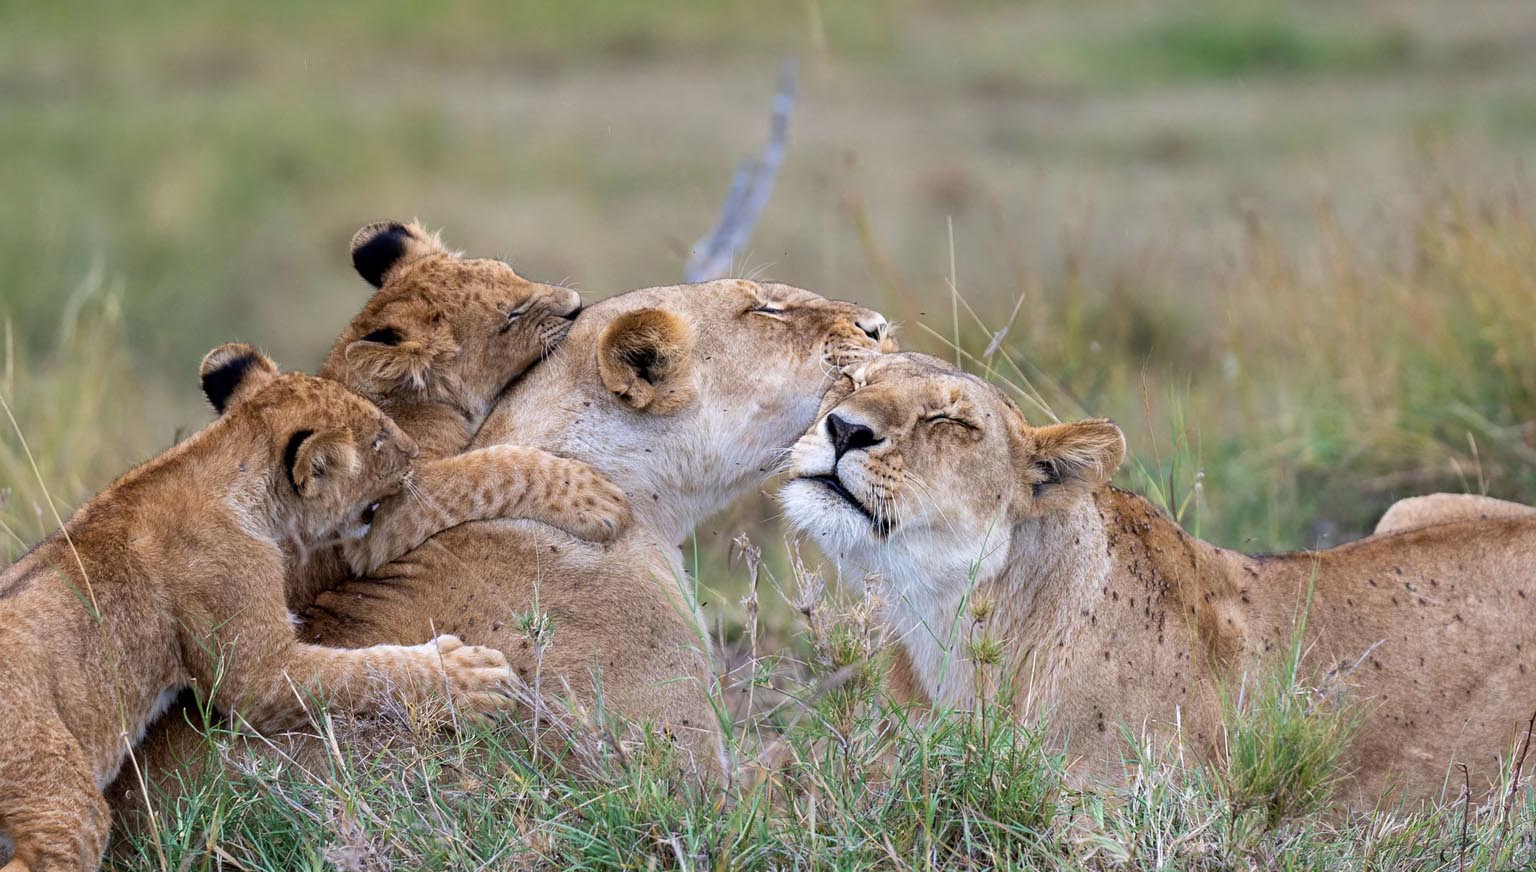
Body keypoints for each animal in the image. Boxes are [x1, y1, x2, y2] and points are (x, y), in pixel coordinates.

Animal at [0, 353, 516, 872]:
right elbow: (364, 671)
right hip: (63, 803)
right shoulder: (257, 675)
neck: (228, 462)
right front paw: (468, 677)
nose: (414, 452)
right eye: (380, 439)